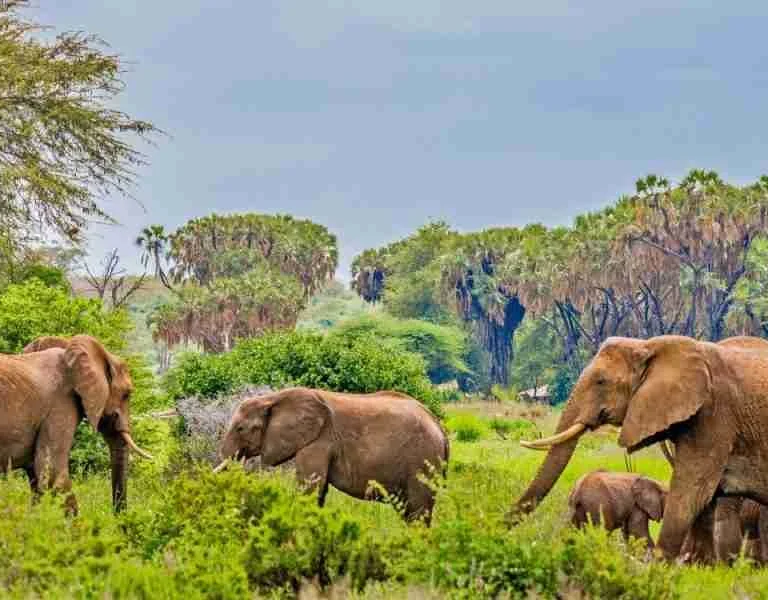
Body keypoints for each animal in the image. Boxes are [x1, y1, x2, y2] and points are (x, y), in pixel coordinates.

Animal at [215, 387, 449, 524]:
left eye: (240, 429)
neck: (274, 398)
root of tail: (440, 427)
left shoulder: (319, 440)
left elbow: (310, 488)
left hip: (423, 460)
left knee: (418, 511)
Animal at [513, 334, 768, 560]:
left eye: (601, 381)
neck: (649, 346)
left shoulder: (715, 417)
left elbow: (690, 493)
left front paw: (660, 569)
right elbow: (704, 500)